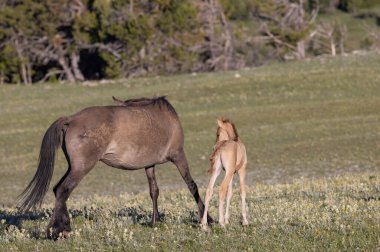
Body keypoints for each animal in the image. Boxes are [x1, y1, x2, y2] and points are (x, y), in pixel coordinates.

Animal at [17, 95, 211, 239]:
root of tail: (72, 119)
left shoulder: (149, 164)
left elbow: (154, 191)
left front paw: (154, 221)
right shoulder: (179, 156)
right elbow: (192, 185)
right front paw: (207, 218)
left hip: (73, 166)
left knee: (58, 190)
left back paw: (56, 229)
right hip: (82, 167)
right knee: (64, 190)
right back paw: (60, 230)